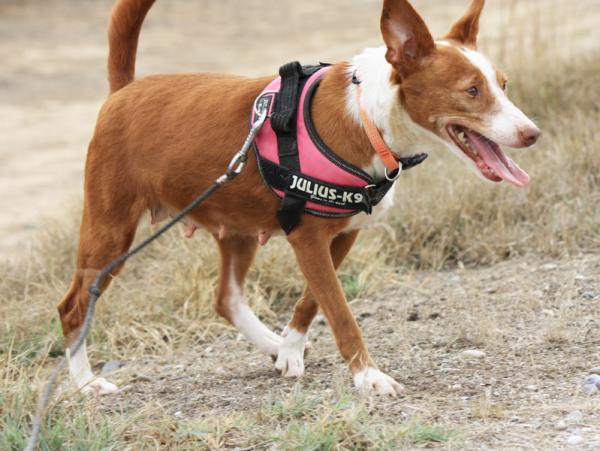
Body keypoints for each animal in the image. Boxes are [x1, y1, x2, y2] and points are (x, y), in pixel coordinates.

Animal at [59, 0, 540, 396]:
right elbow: (340, 312)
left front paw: (290, 348)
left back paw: (272, 345)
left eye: (503, 84)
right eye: (471, 90)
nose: (531, 133)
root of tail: (125, 90)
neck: (367, 117)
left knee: (226, 298)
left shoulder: (342, 234)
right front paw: (369, 377)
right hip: (111, 231)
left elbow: (312, 300)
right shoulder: (308, 238)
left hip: (237, 229)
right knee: (72, 307)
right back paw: (85, 383)